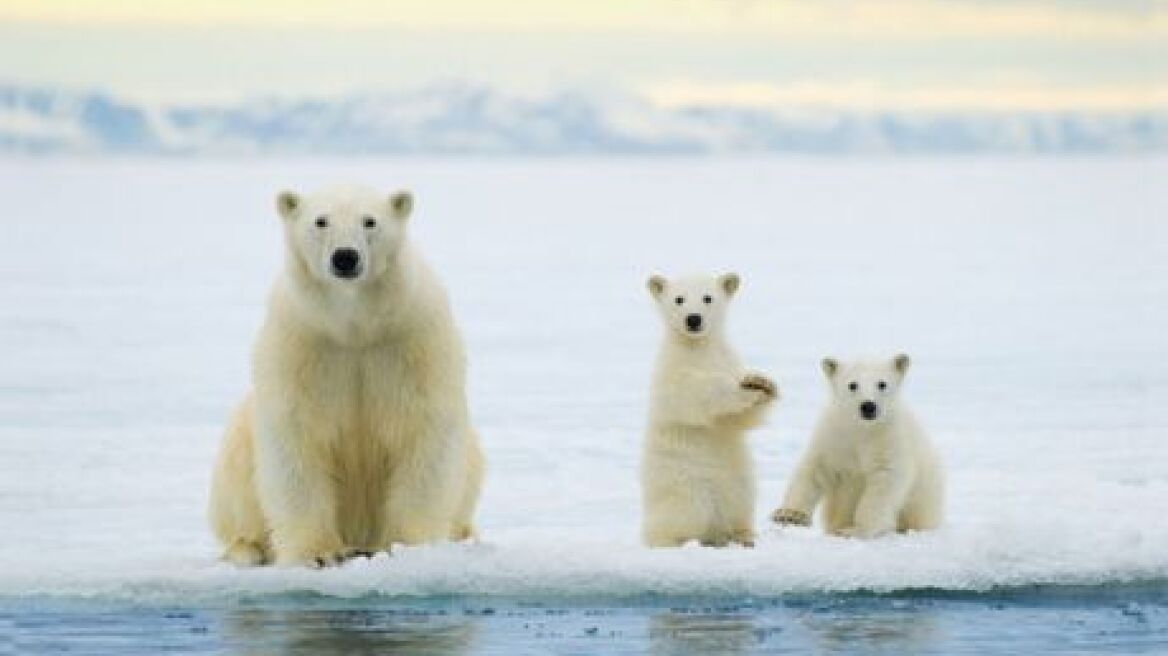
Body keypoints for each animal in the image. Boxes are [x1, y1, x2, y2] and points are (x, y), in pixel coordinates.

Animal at [211, 185, 483, 567]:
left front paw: (411, 546)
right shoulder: (302, 346)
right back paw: (247, 548)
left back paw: (463, 535)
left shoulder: (411, 343)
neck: (354, 328)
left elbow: (423, 435)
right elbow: (296, 440)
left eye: (370, 221)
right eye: (320, 220)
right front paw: (320, 554)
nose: (345, 257)